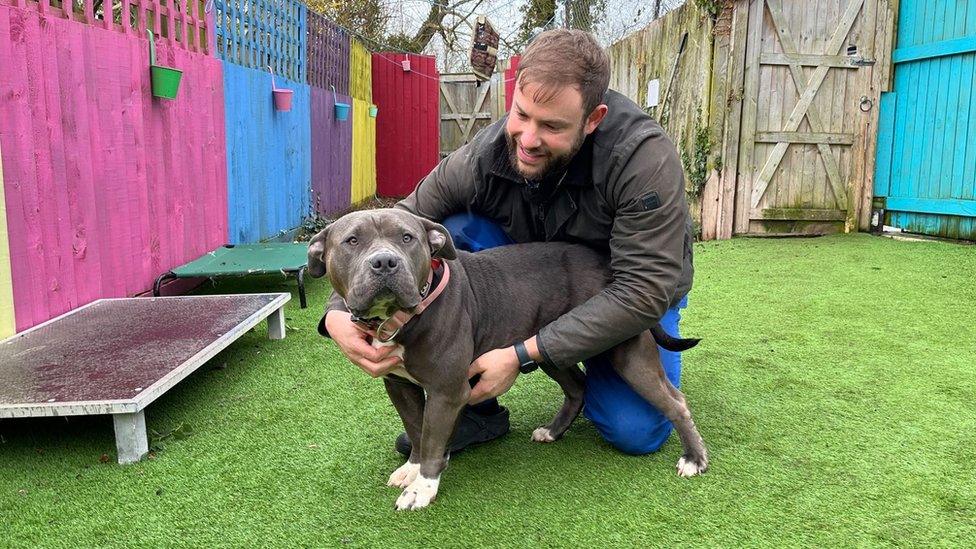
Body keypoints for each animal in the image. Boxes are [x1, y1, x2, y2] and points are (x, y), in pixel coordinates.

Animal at [306, 209, 708, 510]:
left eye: (407, 238)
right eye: (352, 241)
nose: (385, 262)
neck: (409, 313)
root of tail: (610, 268)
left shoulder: (446, 391)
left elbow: (433, 440)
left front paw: (423, 488)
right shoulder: (400, 385)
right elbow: (417, 430)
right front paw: (412, 469)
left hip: (625, 353)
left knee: (674, 401)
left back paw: (694, 458)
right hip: (550, 348)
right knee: (578, 386)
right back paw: (554, 430)